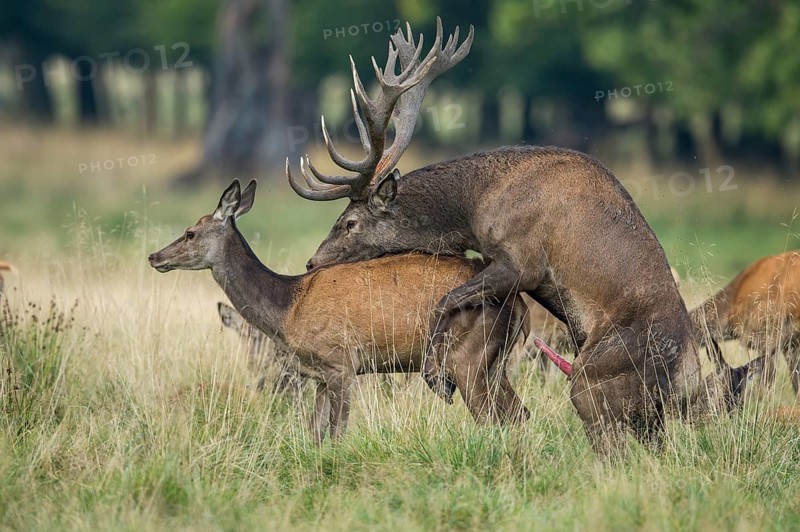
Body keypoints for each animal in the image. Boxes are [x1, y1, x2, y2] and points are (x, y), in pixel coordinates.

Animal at [148, 180, 529, 443]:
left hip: (468, 357)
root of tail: (518, 305)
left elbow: (336, 434)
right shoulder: (317, 374)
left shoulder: (341, 363)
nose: (155, 256)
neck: (288, 308)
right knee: (520, 414)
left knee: (497, 419)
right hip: (494, 363)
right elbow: (315, 435)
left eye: (190, 232)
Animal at [286, 17, 701, 452]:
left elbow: (446, 300)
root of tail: (687, 375)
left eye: (350, 222)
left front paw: (435, 376)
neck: (474, 207)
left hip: (593, 374)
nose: (312, 262)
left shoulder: (522, 261)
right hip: (646, 410)